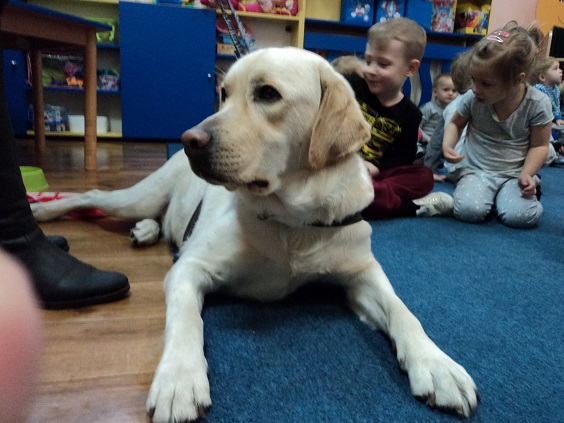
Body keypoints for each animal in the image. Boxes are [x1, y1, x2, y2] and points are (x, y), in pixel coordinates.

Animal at [32, 47, 478, 422]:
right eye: (224, 93)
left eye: (267, 93)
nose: (189, 140)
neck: (292, 219)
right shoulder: (189, 268)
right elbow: (185, 320)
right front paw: (179, 380)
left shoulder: (362, 273)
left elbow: (404, 312)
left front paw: (438, 366)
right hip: (137, 197)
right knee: (92, 196)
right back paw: (43, 208)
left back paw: (146, 230)